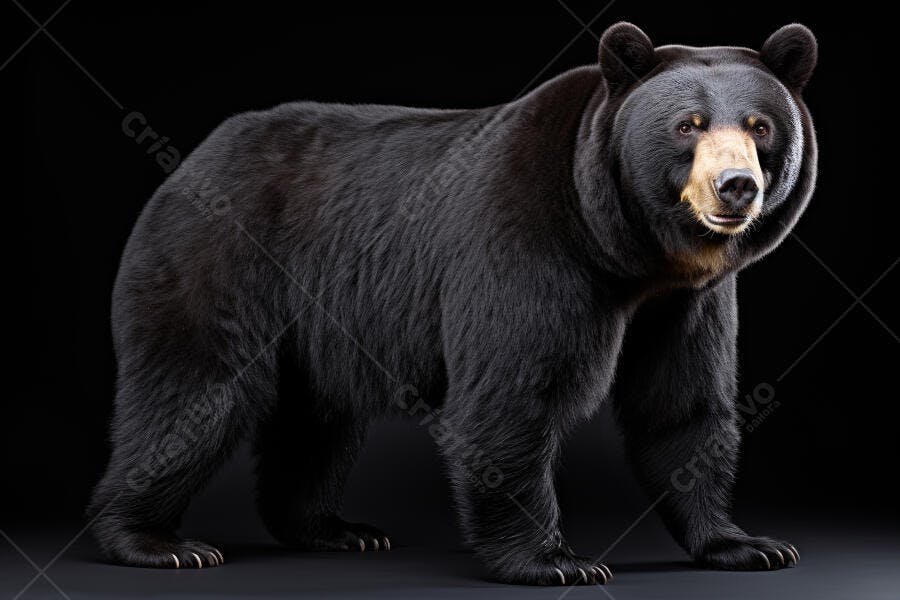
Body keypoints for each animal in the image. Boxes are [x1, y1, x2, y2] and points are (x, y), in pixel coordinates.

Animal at [88, 22, 817, 585]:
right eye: (688, 124)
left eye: (760, 125)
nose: (736, 186)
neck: (627, 249)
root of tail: (196, 156)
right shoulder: (528, 240)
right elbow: (513, 393)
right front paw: (555, 560)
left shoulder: (682, 301)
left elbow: (682, 404)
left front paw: (746, 543)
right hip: (221, 259)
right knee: (194, 394)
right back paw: (153, 541)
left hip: (318, 319)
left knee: (316, 418)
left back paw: (334, 528)